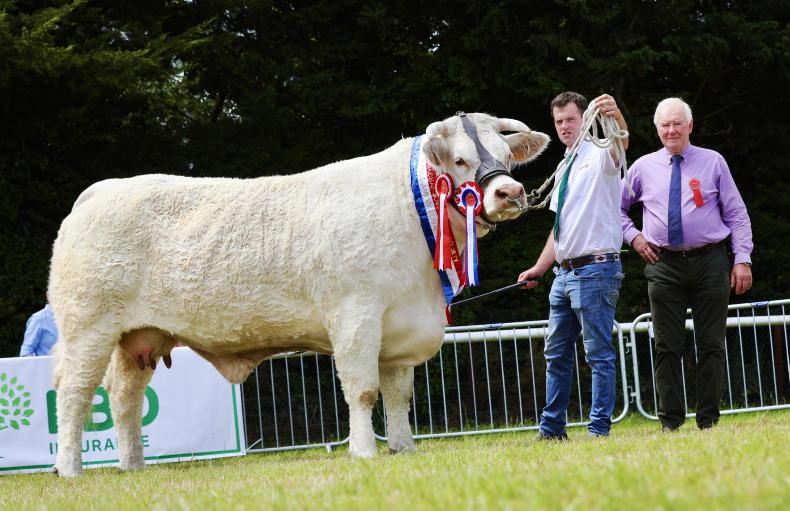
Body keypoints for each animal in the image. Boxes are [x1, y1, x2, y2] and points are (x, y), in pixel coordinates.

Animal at [48, 112, 549, 477]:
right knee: (74, 394)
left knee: (124, 399)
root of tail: (101, 191)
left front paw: (403, 448)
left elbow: (399, 395)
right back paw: (71, 469)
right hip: (87, 327)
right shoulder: (355, 316)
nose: (510, 192)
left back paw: (133, 466)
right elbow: (363, 391)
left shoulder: (401, 324)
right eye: (461, 161)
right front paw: (364, 452)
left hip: (139, 337)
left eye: (507, 156)